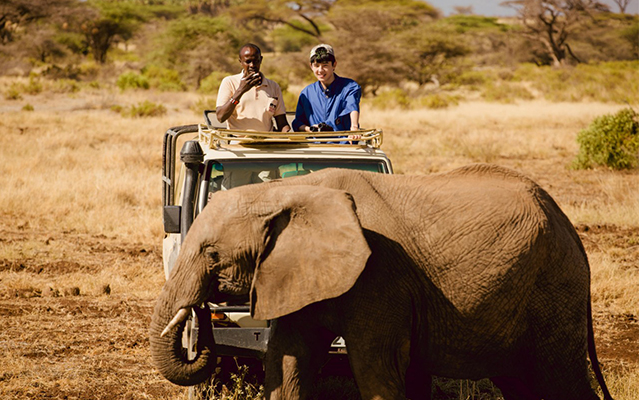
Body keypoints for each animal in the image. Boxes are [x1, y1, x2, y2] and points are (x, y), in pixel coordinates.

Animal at [148, 163, 612, 400]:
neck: (290, 189)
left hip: (554, 287)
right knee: (522, 383)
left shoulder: (381, 275)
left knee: (558, 379)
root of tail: (569, 226)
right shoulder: (296, 270)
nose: (202, 313)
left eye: (212, 254)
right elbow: (288, 359)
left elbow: (374, 369)